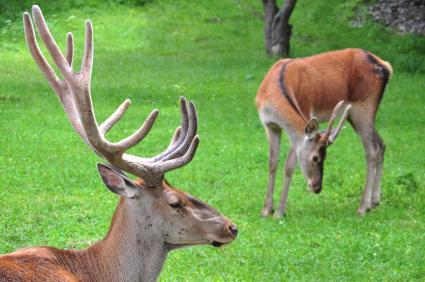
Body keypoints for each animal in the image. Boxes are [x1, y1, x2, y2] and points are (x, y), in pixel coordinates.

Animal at [255, 47, 390, 217]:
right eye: (316, 157)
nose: (318, 188)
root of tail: (386, 67)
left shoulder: (305, 114)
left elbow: (289, 166)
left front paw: (279, 212)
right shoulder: (269, 125)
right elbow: (272, 163)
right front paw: (266, 210)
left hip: (364, 107)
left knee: (372, 149)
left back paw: (363, 207)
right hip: (353, 114)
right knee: (381, 144)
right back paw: (374, 201)